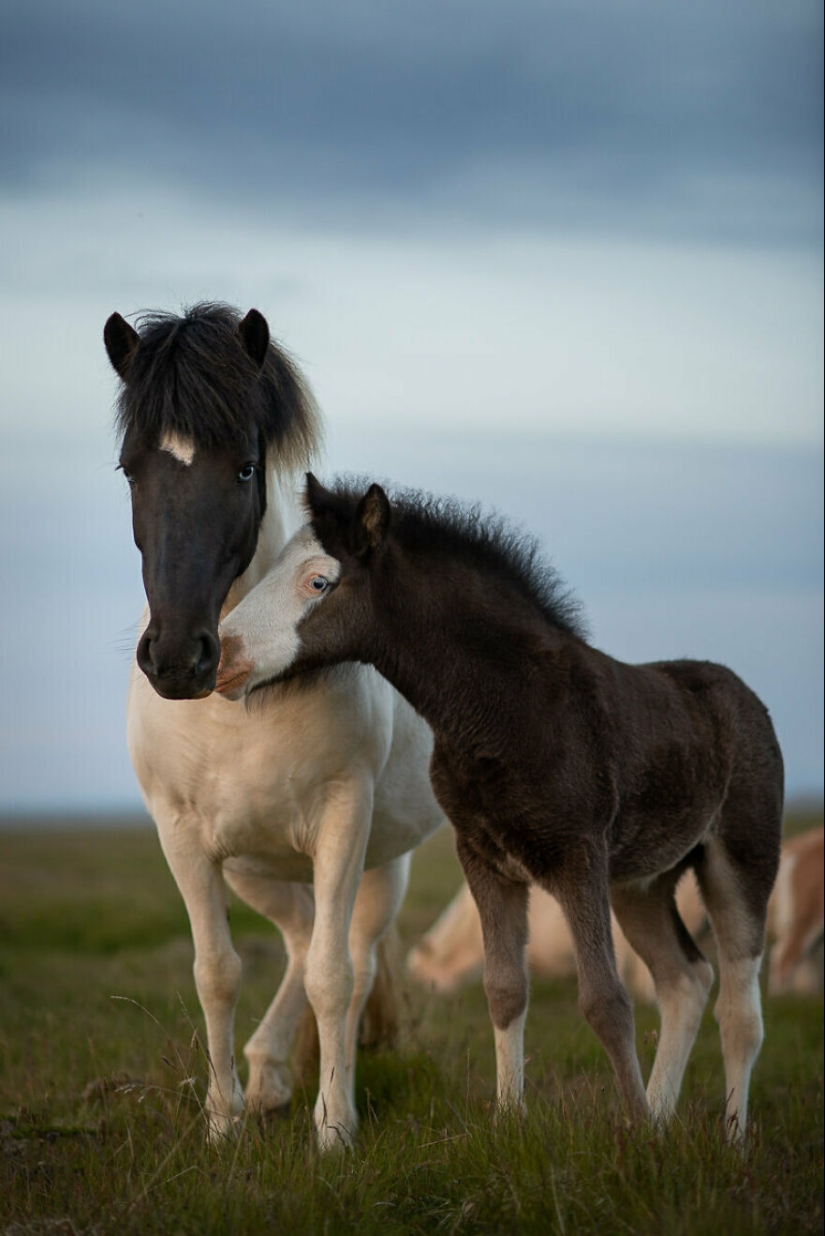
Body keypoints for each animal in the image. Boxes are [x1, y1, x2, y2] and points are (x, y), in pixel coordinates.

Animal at [104, 306, 445, 1150]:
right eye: (130, 470)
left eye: (245, 469)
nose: (178, 659)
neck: (238, 705)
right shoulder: (182, 836)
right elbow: (216, 972)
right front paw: (223, 1119)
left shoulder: (343, 822)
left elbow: (334, 975)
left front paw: (334, 1130)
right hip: (258, 868)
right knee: (295, 941)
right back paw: (265, 1075)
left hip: (378, 865)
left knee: (346, 954)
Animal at [215, 474, 784, 1142]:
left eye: (317, 582)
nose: (221, 655)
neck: (507, 709)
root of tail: (745, 697)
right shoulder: (485, 860)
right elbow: (504, 988)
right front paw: (514, 1121)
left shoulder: (577, 857)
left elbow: (605, 999)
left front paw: (632, 1137)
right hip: (641, 884)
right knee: (685, 982)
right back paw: (662, 1121)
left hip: (739, 863)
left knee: (740, 1009)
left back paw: (731, 1139)